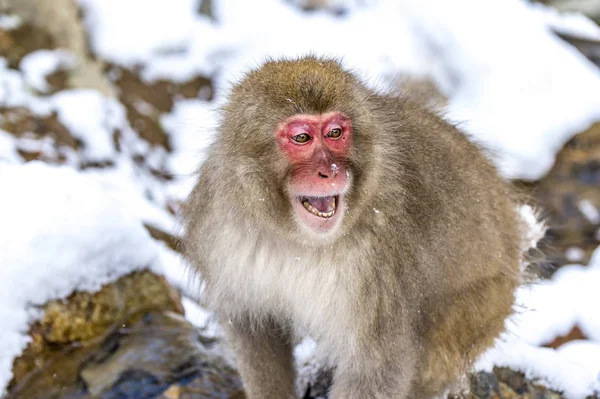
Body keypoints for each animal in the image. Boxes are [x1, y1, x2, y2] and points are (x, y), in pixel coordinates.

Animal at [182, 57, 524, 399]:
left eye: (335, 133)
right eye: (302, 138)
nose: (331, 170)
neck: (300, 240)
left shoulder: (381, 265)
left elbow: (377, 365)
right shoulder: (220, 231)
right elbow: (254, 331)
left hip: (482, 308)